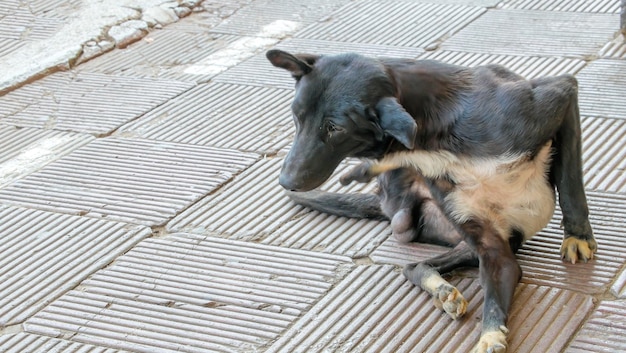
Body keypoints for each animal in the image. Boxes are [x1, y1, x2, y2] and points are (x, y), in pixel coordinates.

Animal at [264, 50, 596, 352]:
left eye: (335, 128)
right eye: (296, 116)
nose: (285, 182)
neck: (432, 136)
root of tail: (386, 203)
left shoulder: (561, 94)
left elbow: (570, 182)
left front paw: (578, 235)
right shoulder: (491, 249)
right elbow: (493, 292)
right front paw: (490, 336)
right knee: (413, 265)